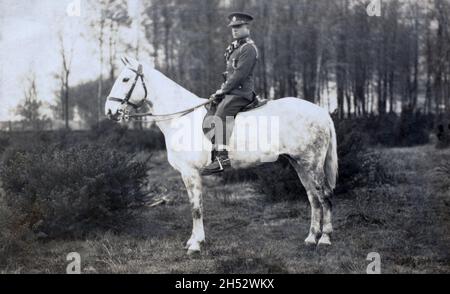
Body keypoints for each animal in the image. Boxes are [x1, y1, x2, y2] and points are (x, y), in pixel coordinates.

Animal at [105, 58, 338, 255]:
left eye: (125, 79)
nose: (109, 111)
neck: (182, 117)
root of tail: (321, 111)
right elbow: (195, 206)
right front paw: (194, 241)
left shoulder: (190, 173)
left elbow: (196, 208)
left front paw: (196, 245)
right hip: (299, 162)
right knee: (313, 197)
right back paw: (311, 238)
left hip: (312, 163)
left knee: (324, 195)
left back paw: (325, 239)